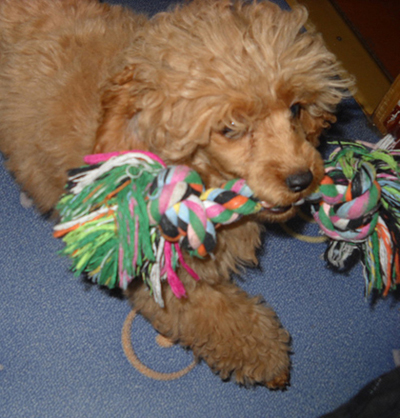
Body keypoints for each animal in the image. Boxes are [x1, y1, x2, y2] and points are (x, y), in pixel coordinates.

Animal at [0, 0, 353, 388]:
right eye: (231, 127)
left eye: (295, 108)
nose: (302, 179)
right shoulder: (157, 274)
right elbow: (217, 316)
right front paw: (268, 357)